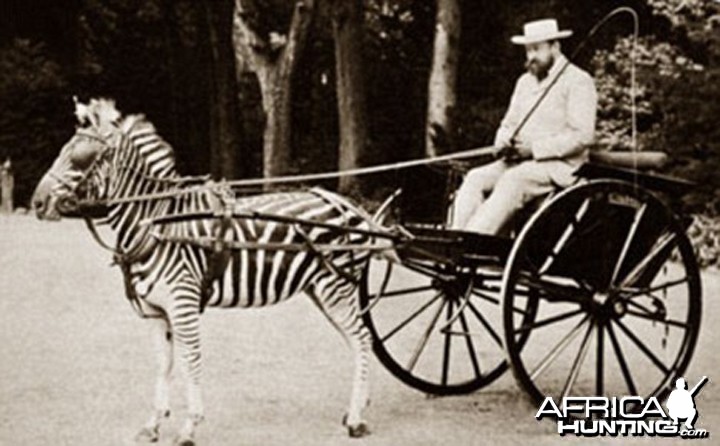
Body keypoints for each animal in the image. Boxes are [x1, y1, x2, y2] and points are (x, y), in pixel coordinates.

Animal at [31, 98, 390, 446]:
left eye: (81, 156)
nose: (36, 203)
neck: (156, 223)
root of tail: (345, 203)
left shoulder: (183, 303)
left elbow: (191, 360)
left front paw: (189, 427)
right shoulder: (154, 310)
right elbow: (163, 364)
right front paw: (153, 424)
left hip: (336, 286)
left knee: (362, 338)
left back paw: (356, 419)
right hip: (321, 290)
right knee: (357, 341)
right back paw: (357, 408)